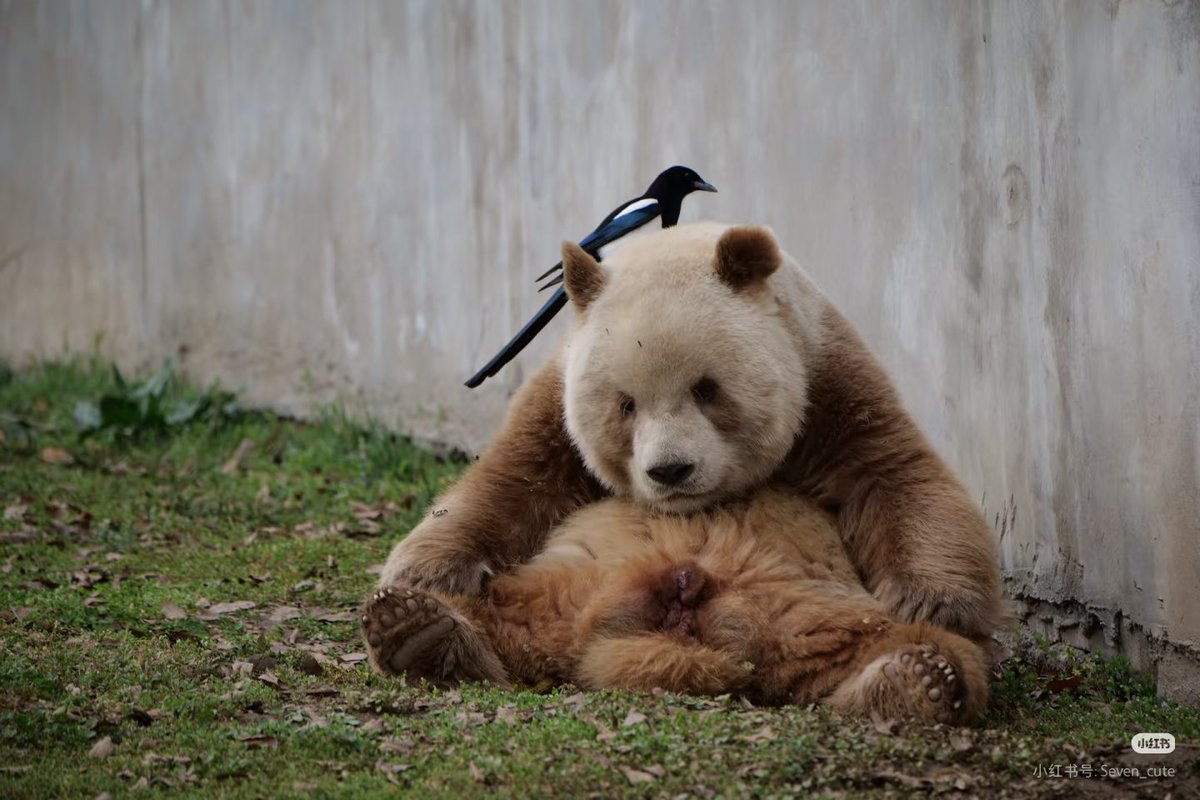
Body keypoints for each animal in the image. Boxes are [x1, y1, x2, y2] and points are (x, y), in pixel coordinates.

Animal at [373, 222, 1004, 675]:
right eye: (625, 404)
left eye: (707, 388)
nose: (670, 471)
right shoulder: (557, 402)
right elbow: (512, 479)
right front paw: (428, 570)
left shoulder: (827, 381)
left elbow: (893, 473)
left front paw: (933, 601)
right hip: (551, 589)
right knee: (499, 613)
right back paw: (418, 627)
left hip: (819, 609)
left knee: (892, 644)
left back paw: (914, 676)